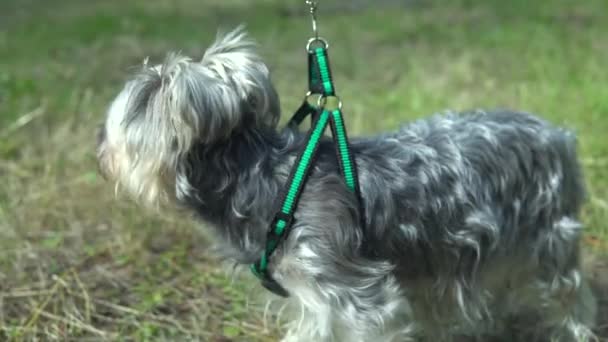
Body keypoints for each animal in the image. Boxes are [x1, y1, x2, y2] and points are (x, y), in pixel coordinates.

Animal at [97, 28, 596, 340]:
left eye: (118, 123)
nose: (100, 153)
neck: (262, 176)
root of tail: (558, 135)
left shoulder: (357, 296)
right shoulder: (312, 296)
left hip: (549, 237)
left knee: (571, 297)